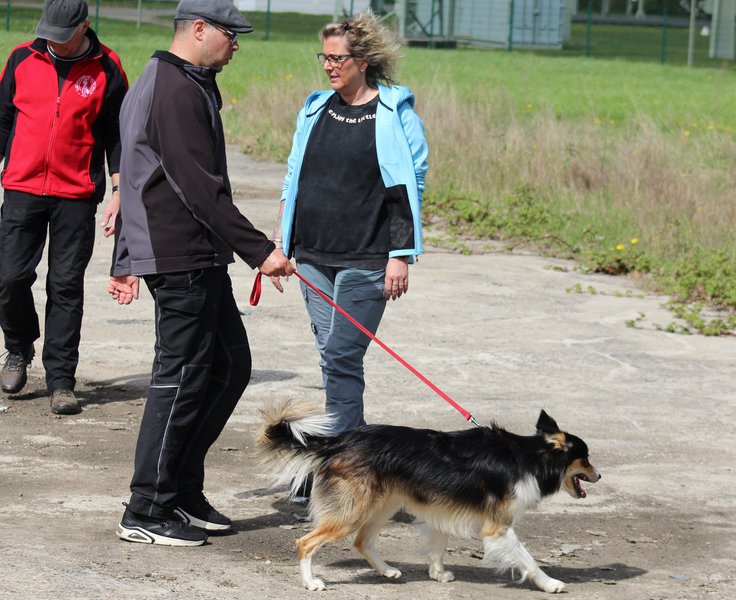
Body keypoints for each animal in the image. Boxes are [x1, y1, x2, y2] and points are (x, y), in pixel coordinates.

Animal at [257, 400, 601, 593]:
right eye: (586, 459)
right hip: (352, 512)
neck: (528, 458)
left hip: (383, 505)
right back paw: (311, 583)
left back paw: (388, 571)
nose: (599, 475)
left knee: (362, 541)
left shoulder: (441, 509)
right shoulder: (498, 528)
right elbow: (527, 559)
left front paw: (436, 574)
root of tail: (340, 441)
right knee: (305, 543)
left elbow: (438, 546)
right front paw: (550, 583)